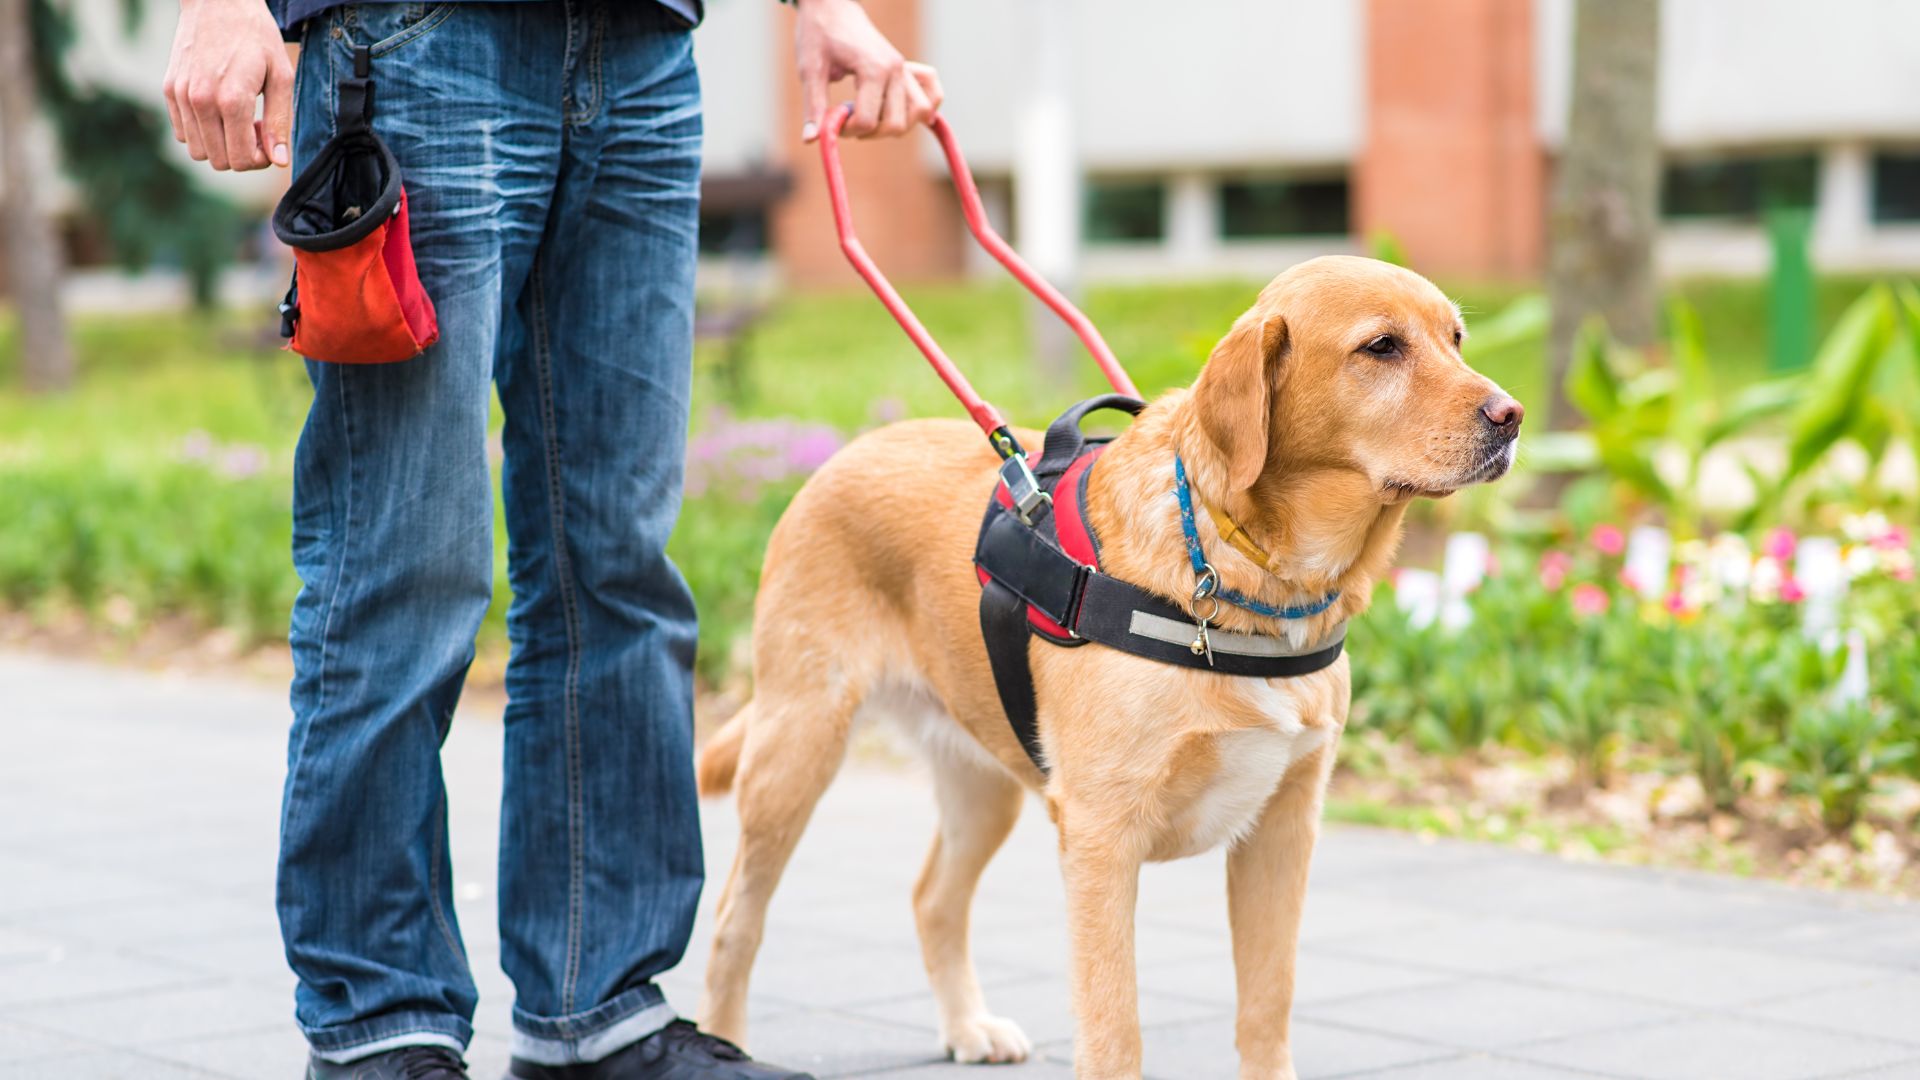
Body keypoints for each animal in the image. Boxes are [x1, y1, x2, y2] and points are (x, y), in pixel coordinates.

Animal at [698, 255, 1520, 1068]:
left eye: (1455, 339)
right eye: (1381, 347)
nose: (1512, 415)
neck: (1249, 574)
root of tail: (847, 451)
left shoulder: (1284, 829)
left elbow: (1267, 1001)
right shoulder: (1101, 835)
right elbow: (1114, 1025)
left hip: (982, 777)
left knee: (932, 897)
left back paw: (968, 1027)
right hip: (796, 750)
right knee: (736, 916)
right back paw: (726, 1039)